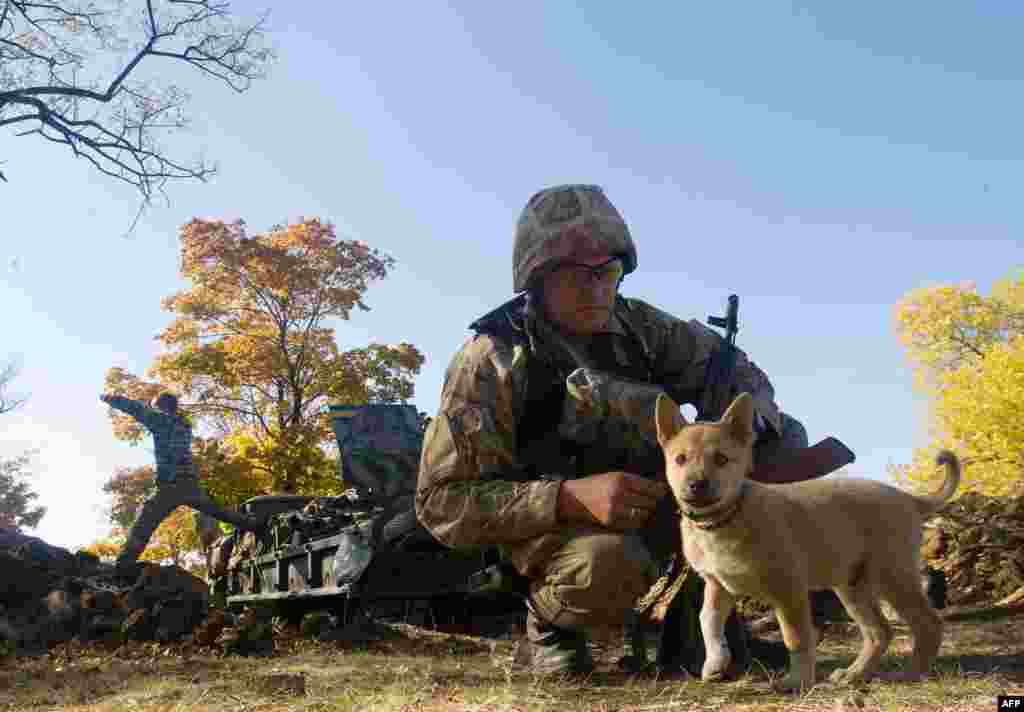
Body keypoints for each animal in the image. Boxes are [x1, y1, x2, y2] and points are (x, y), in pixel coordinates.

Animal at [655, 389, 958, 692]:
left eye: (721, 459)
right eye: (680, 459)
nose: (696, 485)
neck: (724, 519)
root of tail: (908, 498)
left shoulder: (788, 590)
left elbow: (796, 637)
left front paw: (798, 680)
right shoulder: (717, 585)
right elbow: (708, 620)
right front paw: (715, 663)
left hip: (892, 577)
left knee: (928, 624)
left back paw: (911, 673)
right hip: (852, 587)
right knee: (879, 632)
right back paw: (854, 674)